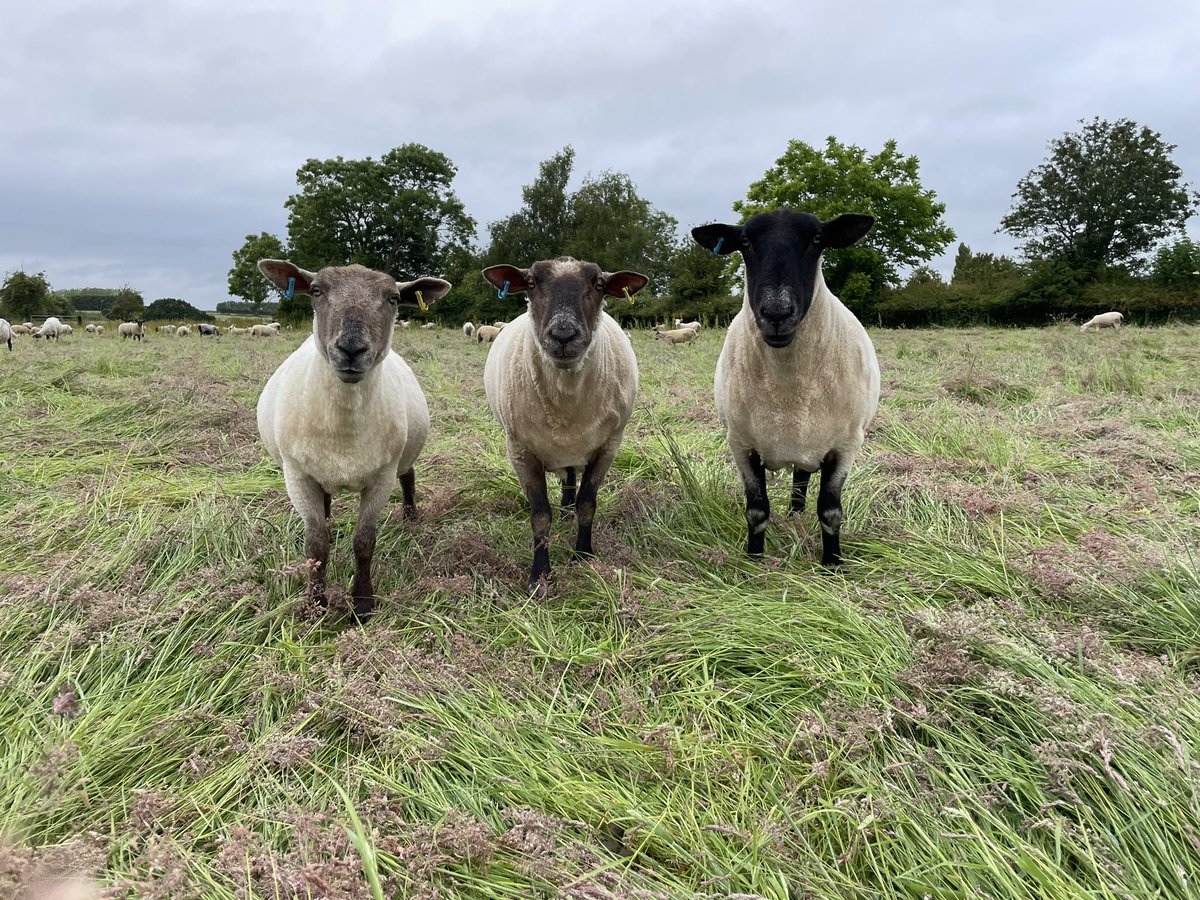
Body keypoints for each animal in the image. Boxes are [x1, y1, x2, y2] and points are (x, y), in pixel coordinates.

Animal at [255, 259, 451, 619]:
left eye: (393, 298)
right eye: (316, 291)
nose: (351, 349)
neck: (344, 430)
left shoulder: (381, 478)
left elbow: (364, 542)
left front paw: (362, 602)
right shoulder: (298, 476)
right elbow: (315, 544)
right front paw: (315, 604)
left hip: (403, 455)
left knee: (409, 476)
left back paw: (411, 516)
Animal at [482, 256, 648, 592]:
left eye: (599, 284)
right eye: (531, 283)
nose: (563, 335)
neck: (566, 404)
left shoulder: (608, 447)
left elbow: (587, 504)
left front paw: (583, 556)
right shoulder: (520, 452)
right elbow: (540, 516)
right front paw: (539, 576)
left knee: (571, 478)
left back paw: (568, 508)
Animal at [692, 209, 879, 566]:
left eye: (817, 239)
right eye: (745, 242)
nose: (776, 313)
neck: (789, 390)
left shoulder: (846, 445)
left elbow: (831, 512)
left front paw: (832, 564)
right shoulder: (741, 444)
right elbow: (756, 510)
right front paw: (754, 560)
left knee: (801, 478)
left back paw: (797, 514)